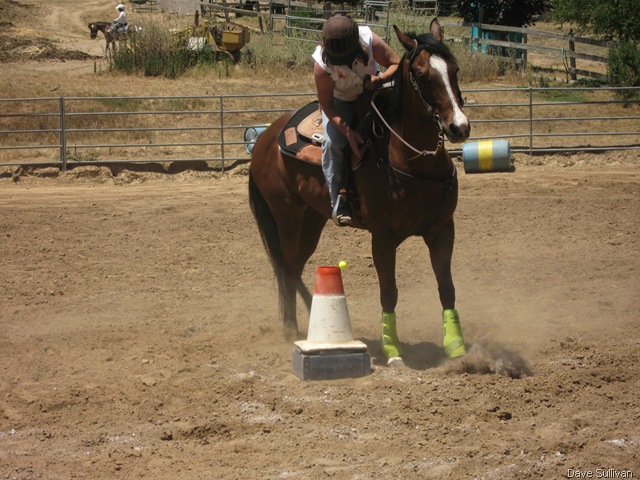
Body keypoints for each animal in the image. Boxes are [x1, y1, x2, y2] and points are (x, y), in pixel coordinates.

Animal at [248, 19, 471, 367]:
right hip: (286, 216)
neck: (411, 159)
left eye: (454, 69)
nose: (459, 127)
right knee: (286, 266)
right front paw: (392, 351)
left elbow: (447, 288)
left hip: (312, 219)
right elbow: (389, 292)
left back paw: (307, 319)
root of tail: (265, 138)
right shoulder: (382, 237)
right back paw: (292, 328)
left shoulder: (442, 229)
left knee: (295, 267)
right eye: (422, 76)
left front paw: (456, 347)